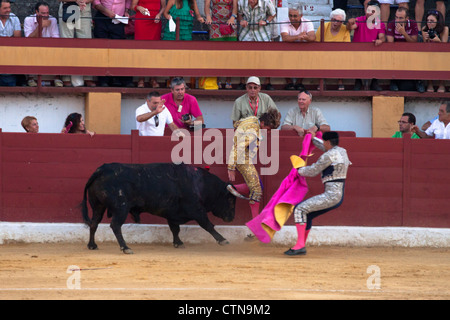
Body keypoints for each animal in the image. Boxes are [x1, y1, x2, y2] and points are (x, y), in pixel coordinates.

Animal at [81, 164, 237, 254]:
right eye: (230, 199)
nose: (232, 217)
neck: (200, 184)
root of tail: (101, 171)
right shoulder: (198, 211)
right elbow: (208, 225)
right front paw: (223, 240)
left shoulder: (172, 213)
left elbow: (175, 229)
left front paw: (178, 243)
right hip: (121, 208)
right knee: (115, 225)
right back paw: (125, 248)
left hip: (98, 206)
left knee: (94, 223)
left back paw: (92, 245)